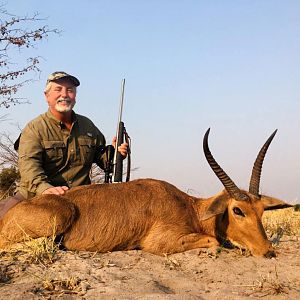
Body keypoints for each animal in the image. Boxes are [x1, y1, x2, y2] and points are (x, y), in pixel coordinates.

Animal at [0, 127, 292, 256]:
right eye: (237, 210)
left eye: (262, 211)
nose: (268, 251)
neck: (190, 207)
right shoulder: (159, 243)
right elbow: (213, 241)